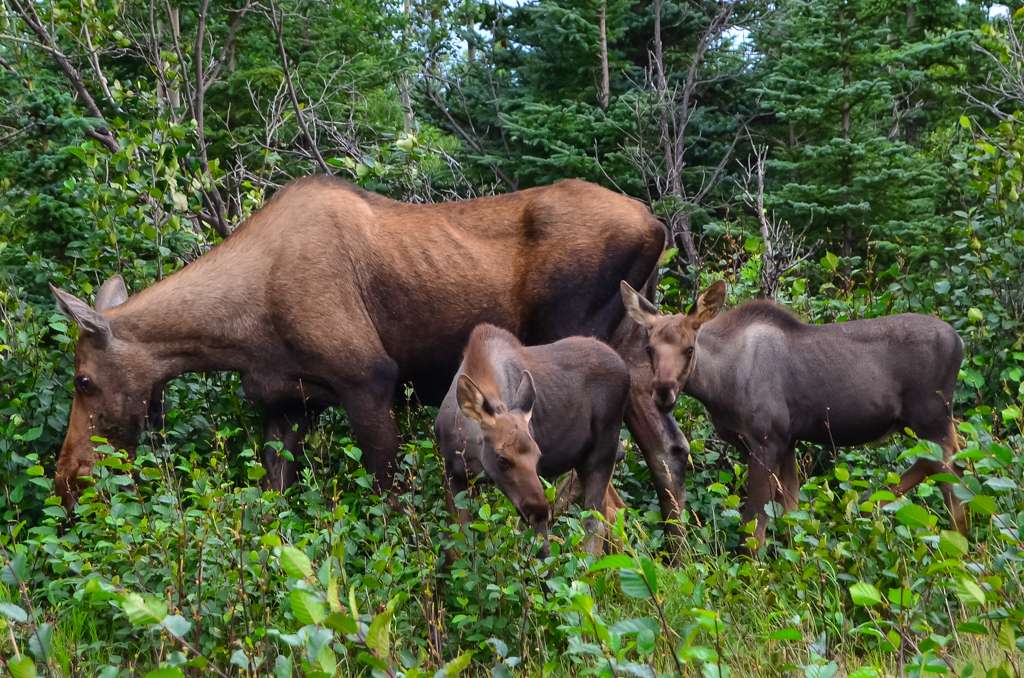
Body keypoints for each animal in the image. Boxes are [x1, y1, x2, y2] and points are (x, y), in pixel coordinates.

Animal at [434, 325, 630, 557]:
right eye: (502, 459)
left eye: (538, 456)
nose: (540, 510)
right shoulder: (453, 475)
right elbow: (459, 541)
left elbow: (541, 549)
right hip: (585, 462)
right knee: (611, 513)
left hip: (603, 452)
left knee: (596, 520)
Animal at [618, 278, 962, 548]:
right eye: (649, 348)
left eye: (689, 348)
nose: (663, 391)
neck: (719, 385)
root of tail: (960, 342)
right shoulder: (787, 441)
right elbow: (789, 510)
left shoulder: (766, 439)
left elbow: (753, 526)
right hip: (928, 422)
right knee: (945, 463)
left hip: (932, 418)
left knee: (951, 475)